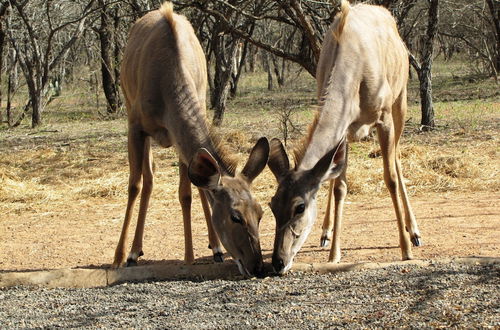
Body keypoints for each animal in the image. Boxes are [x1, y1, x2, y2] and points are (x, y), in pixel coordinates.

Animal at [113, 2, 270, 278]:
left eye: (260, 213)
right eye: (235, 217)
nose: (258, 266)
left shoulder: (179, 137)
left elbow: (187, 192)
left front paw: (191, 256)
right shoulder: (136, 127)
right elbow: (134, 185)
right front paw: (119, 257)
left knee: (189, 185)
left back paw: (215, 249)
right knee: (148, 179)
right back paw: (134, 252)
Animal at [268, 0, 420, 274]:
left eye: (300, 207)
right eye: (272, 204)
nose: (278, 262)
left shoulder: (384, 119)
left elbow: (390, 177)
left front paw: (406, 249)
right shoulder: (345, 129)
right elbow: (339, 186)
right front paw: (334, 254)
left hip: (400, 101)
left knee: (397, 160)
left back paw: (413, 231)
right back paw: (325, 233)